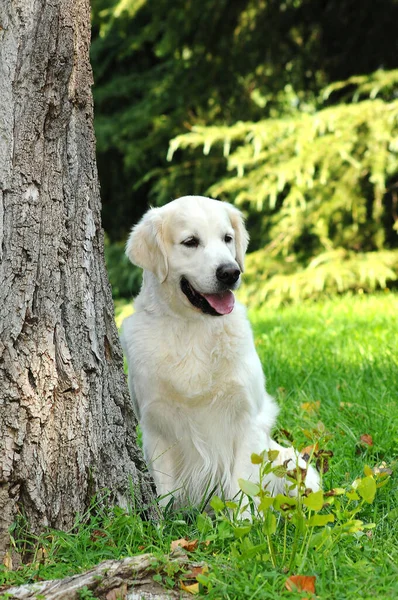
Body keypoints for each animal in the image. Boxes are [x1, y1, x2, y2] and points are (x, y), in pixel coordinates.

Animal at [119, 196, 318, 506]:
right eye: (190, 242)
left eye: (227, 238)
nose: (230, 272)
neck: (194, 330)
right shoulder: (155, 425)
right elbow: (164, 490)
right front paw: (161, 519)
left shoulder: (246, 419)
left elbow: (241, 489)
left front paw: (244, 517)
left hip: (294, 464)